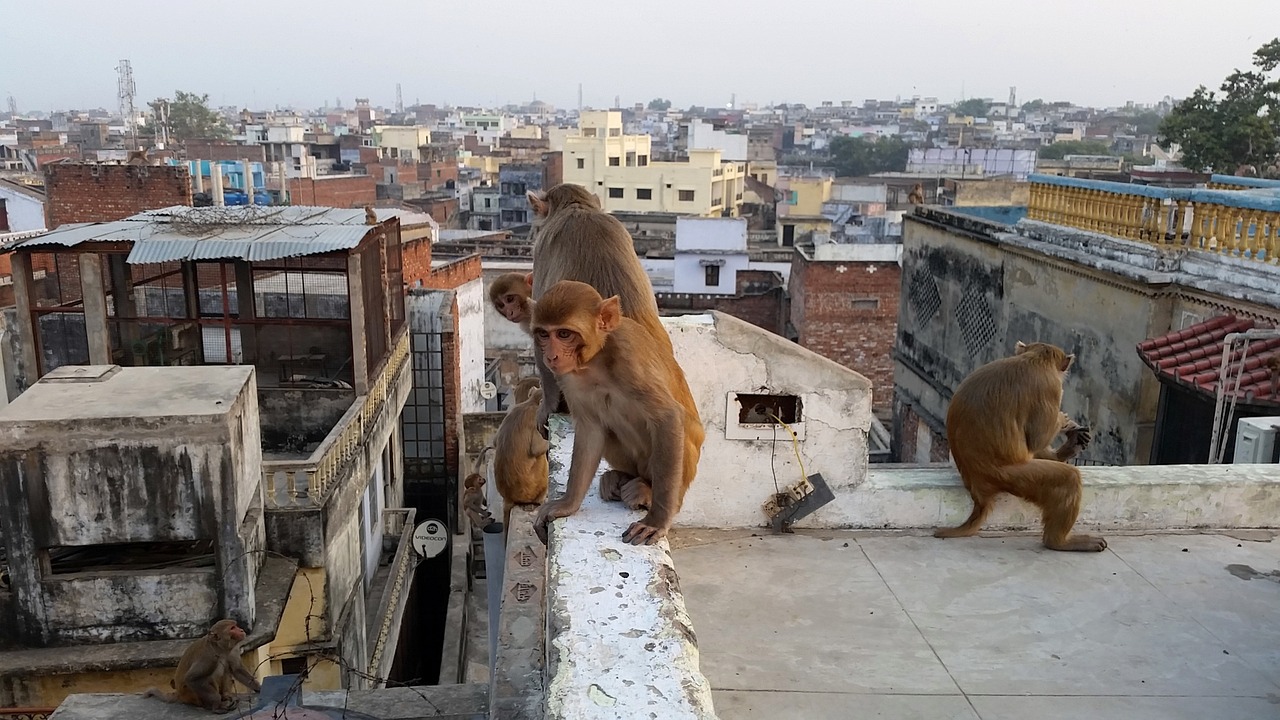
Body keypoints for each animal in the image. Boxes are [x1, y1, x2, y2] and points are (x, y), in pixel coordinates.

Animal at [491, 376, 547, 520]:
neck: (531, 403)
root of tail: (508, 497)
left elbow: (495, 441)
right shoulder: (535, 420)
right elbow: (537, 449)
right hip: (532, 488)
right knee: (541, 459)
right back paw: (540, 500)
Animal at [529, 280, 706, 543]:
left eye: (564, 334)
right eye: (543, 334)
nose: (551, 356)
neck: (595, 360)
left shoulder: (629, 357)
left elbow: (668, 417)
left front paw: (656, 522)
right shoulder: (569, 377)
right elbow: (591, 429)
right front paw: (567, 504)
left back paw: (646, 490)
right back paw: (620, 477)